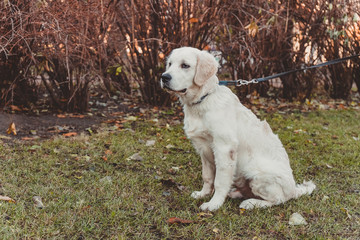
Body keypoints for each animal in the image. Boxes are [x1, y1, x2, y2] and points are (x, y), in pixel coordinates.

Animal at [160, 46, 316, 210]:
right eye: (169, 64)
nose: (164, 77)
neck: (202, 100)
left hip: (256, 171)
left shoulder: (224, 147)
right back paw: (236, 193)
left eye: (185, 65)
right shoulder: (203, 149)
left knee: (279, 199)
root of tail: (293, 190)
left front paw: (214, 204)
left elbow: (220, 181)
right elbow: (207, 177)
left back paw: (252, 203)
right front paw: (203, 194)